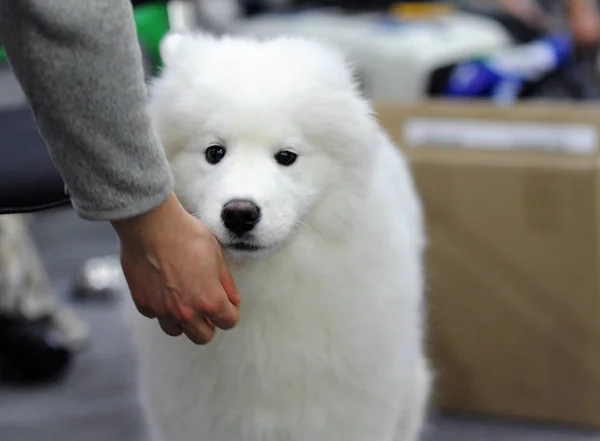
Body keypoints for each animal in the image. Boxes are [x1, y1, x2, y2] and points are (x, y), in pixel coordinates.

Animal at [130, 31, 432, 440]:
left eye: (286, 156)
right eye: (214, 152)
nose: (240, 213)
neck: (264, 286)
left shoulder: (350, 414)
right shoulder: (191, 415)